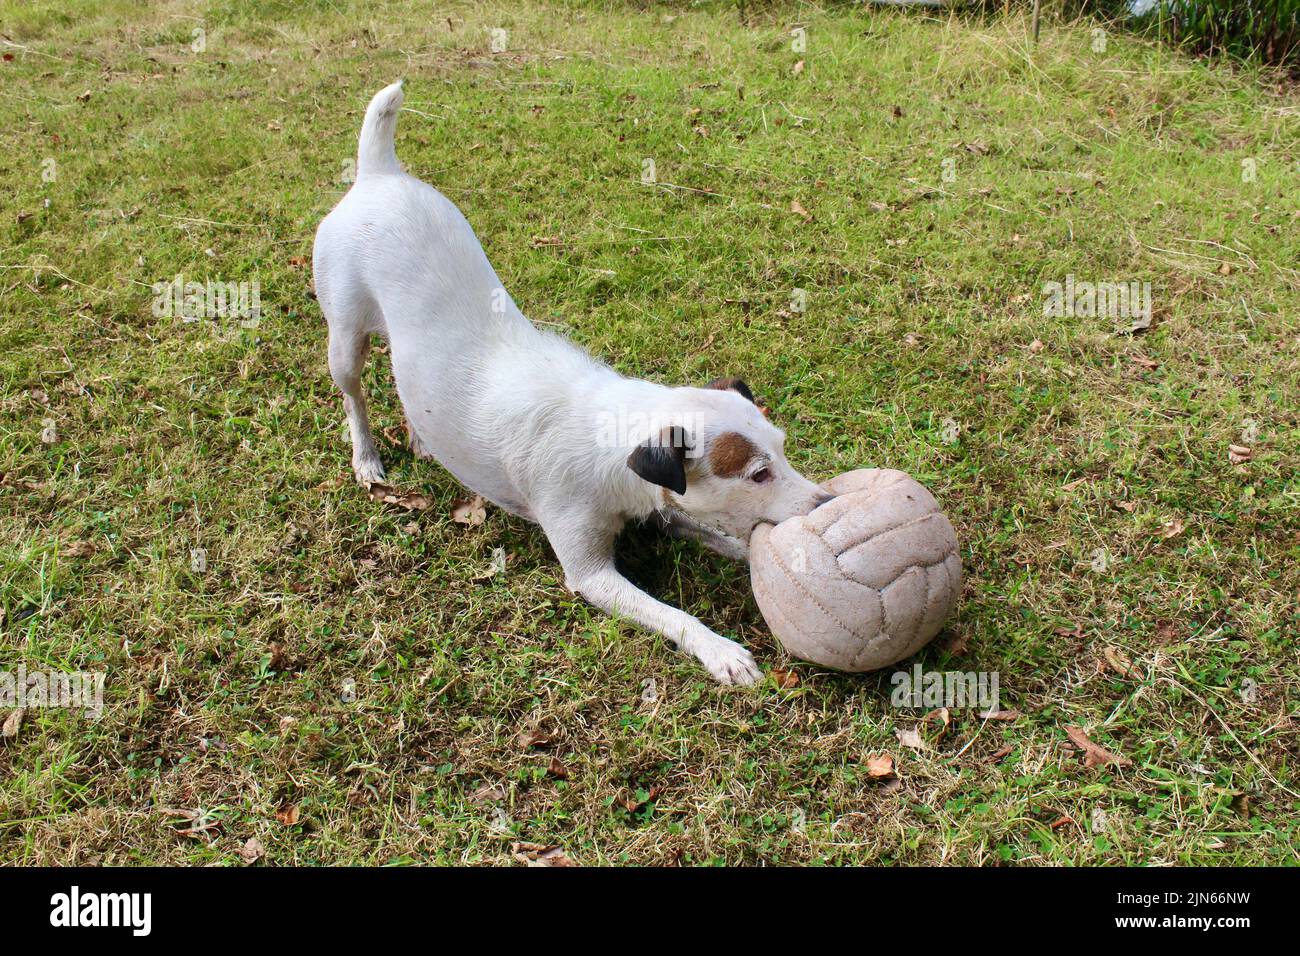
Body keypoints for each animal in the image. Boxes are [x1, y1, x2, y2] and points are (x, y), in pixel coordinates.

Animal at [309, 80, 826, 681]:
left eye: (784, 449)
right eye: (759, 474)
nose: (826, 503)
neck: (613, 432)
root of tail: (378, 175)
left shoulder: (663, 510)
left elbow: (726, 539)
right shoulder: (592, 575)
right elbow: (675, 615)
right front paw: (721, 651)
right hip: (345, 338)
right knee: (353, 396)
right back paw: (367, 458)